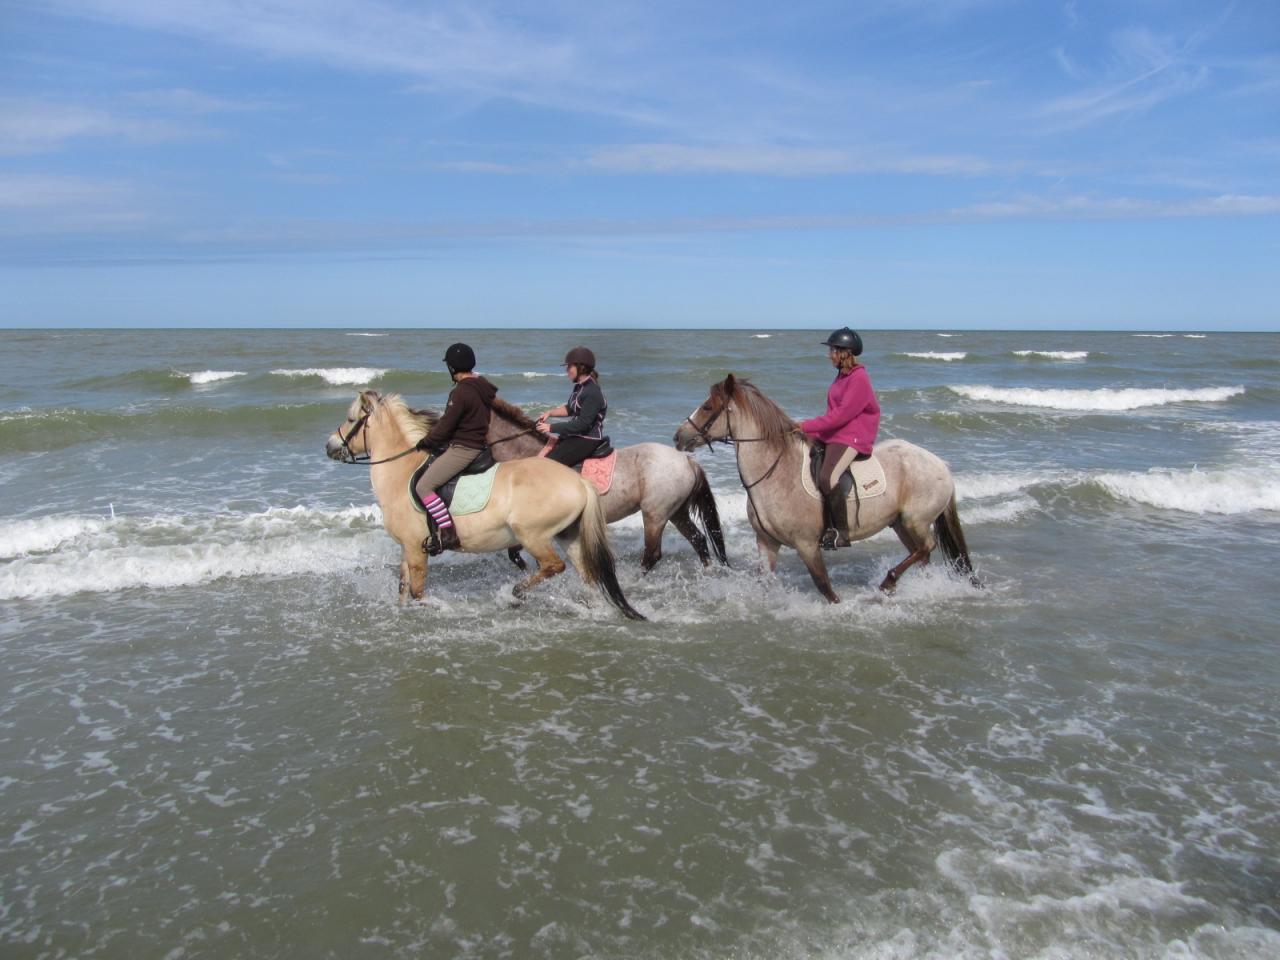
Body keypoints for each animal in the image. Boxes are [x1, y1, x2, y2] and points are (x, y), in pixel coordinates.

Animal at [325, 391, 645, 624]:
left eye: (351, 419)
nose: (329, 446)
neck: (401, 472)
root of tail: (579, 481)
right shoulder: (407, 548)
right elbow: (403, 589)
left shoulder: (416, 548)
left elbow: (417, 592)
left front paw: (440, 609)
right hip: (569, 535)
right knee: (587, 575)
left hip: (533, 535)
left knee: (554, 565)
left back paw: (516, 594)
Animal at [481, 399, 727, 570]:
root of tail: (687, 460)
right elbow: (515, 552)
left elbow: (515, 553)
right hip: (676, 512)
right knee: (698, 540)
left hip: (655, 515)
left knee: (653, 554)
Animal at [670, 373, 977, 601]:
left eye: (707, 407)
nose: (678, 437)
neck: (776, 473)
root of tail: (940, 464)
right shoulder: (767, 542)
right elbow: (765, 581)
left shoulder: (807, 545)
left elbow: (825, 587)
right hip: (900, 523)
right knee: (922, 554)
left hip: (916, 520)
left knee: (927, 546)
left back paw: (888, 582)